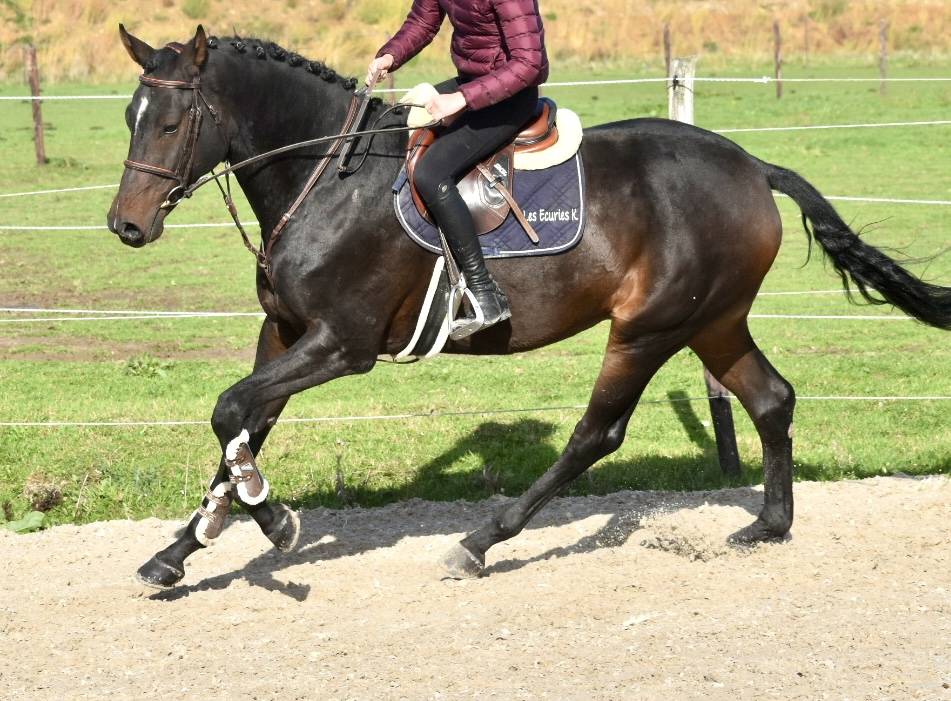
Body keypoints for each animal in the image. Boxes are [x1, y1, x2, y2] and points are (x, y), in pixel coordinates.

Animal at [108, 26, 951, 588]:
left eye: (173, 122)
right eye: (130, 117)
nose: (126, 226)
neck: (327, 175)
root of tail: (748, 164)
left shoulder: (339, 344)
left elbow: (230, 413)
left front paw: (273, 521)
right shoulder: (282, 332)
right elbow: (242, 427)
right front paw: (182, 548)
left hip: (647, 328)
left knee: (596, 434)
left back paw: (481, 540)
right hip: (712, 319)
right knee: (771, 399)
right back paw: (768, 524)